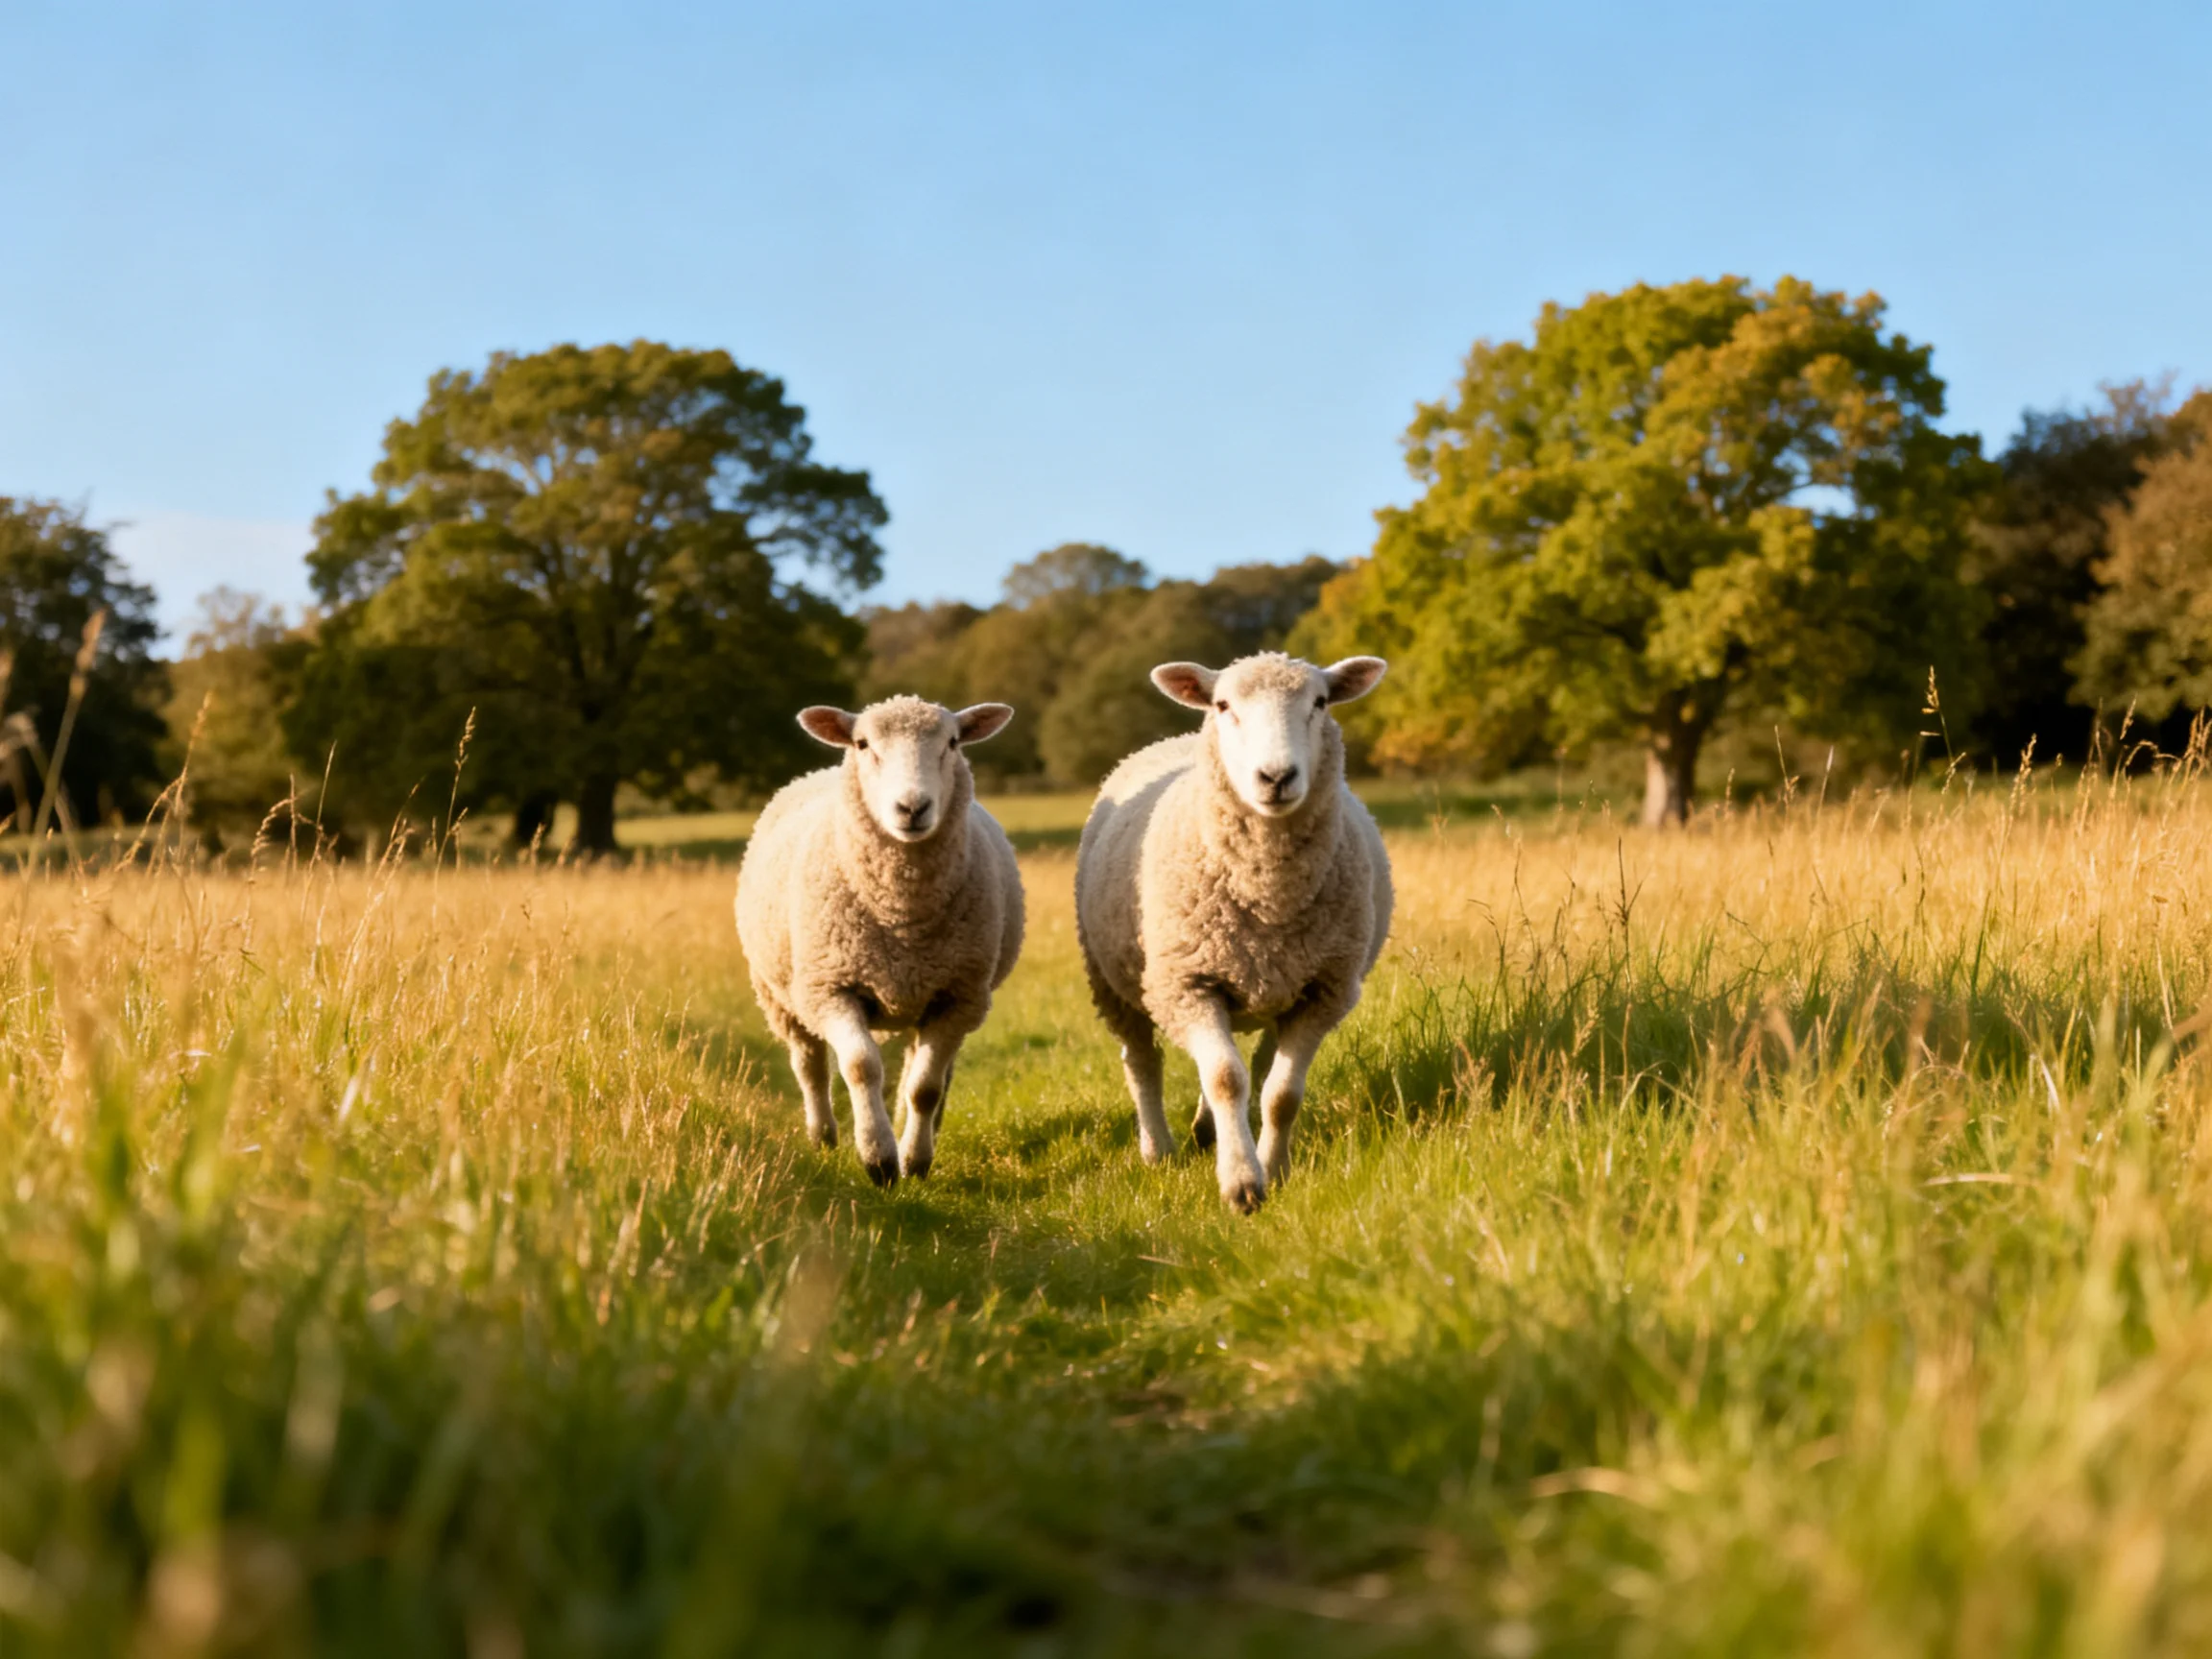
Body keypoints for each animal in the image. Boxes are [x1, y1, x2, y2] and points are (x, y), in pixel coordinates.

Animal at [735, 696, 1024, 1185]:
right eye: (862, 744)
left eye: (952, 743)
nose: (912, 807)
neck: (901, 914)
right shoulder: (830, 987)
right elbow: (859, 1066)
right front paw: (878, 1158)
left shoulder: (958, 996)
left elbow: (924, 1087)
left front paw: (914, 1160)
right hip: (780, 995)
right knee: (810, 1064)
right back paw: (823, 1135)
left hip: (926, 999)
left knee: (920, 1073)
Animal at [1075, 652, 1391, 1213]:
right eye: (1224, 705)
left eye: (1320, 702)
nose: (1277, 776)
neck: (1268, 893)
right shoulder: (1188, 984)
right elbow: (1225, 1079)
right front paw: (1241, 1183)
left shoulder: (1322, 992)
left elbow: (1280, 1094)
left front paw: (1273, 1168)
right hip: (1115, 983)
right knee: (1143, 1062)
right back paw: (1159, 1148)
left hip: (1273, 989)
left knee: (1257, 1066)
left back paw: (1208, 1131)